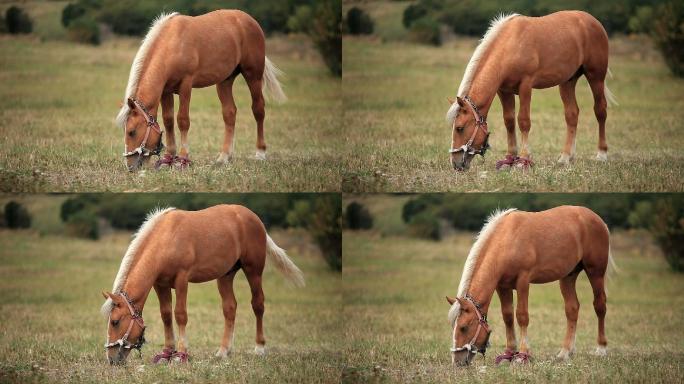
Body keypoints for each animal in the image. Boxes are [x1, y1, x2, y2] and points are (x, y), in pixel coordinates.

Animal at [101, 204, 304, 364]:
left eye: (115, 321)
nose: (111, 359)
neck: (166, 239)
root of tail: (254, 218)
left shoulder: (182, 280)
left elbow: (180, 315)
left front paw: (181, 354)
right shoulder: (160, 284)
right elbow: (166, 315)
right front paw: (167, 353)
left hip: (253, 270)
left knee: (258, 304)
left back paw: (259, 348)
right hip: (225, 275)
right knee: (230, 308)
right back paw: (223, 351)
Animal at [116, 9, 288, 172]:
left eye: (131, 131)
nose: (130, 166)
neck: (172, 44)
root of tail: (249, 20)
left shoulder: (186, 85)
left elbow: (182, 120)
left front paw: (183, 160)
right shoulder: (166, 91)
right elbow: (168, 121)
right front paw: (168, 159)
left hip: (253, 75)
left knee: (258, 110)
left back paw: (260, 153)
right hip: (224, 81)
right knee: (229, 113)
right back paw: (224, 157)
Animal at [446, 10, 616, 171]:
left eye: (460, 128)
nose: (455, 163)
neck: (511, 45)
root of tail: (593, 21)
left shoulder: (526, 86)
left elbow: (523, 121)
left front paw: (523, 159)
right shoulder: (504, 90)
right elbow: (509, 121)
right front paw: (509, 159)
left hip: (596, 77)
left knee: (600, 111)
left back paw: (601, 154)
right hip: (567, 81)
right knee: (572, 115)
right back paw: (566, 157)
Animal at [448, 207, 616, 366]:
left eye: (463, 327)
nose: (457, 361)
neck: (507, 240)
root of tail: (598, 219)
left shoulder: (523, 281)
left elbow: (522, 316)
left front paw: (522, 355)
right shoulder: (502, 286)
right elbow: (507, 316)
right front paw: (509, 353)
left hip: (595, 272)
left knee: (600, 306)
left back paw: (601, 349)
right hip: (568, 276)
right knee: (572, 309)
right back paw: (565, 352)